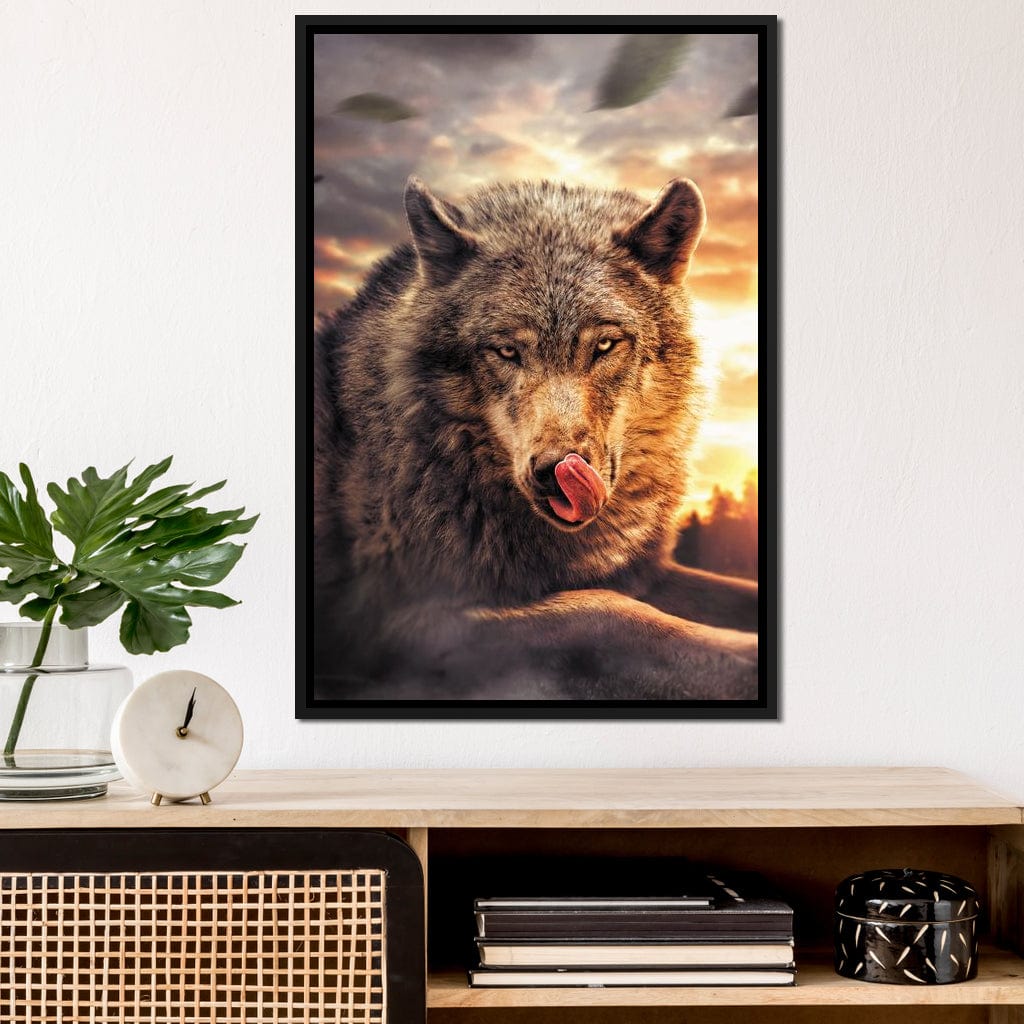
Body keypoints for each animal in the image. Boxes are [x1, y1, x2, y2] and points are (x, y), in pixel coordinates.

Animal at [314, 176, 758, 700]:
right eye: (507, 351)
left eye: (605, 344)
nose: (555, 472)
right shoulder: (405, 625)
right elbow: (607, 614)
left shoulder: (643, 573)